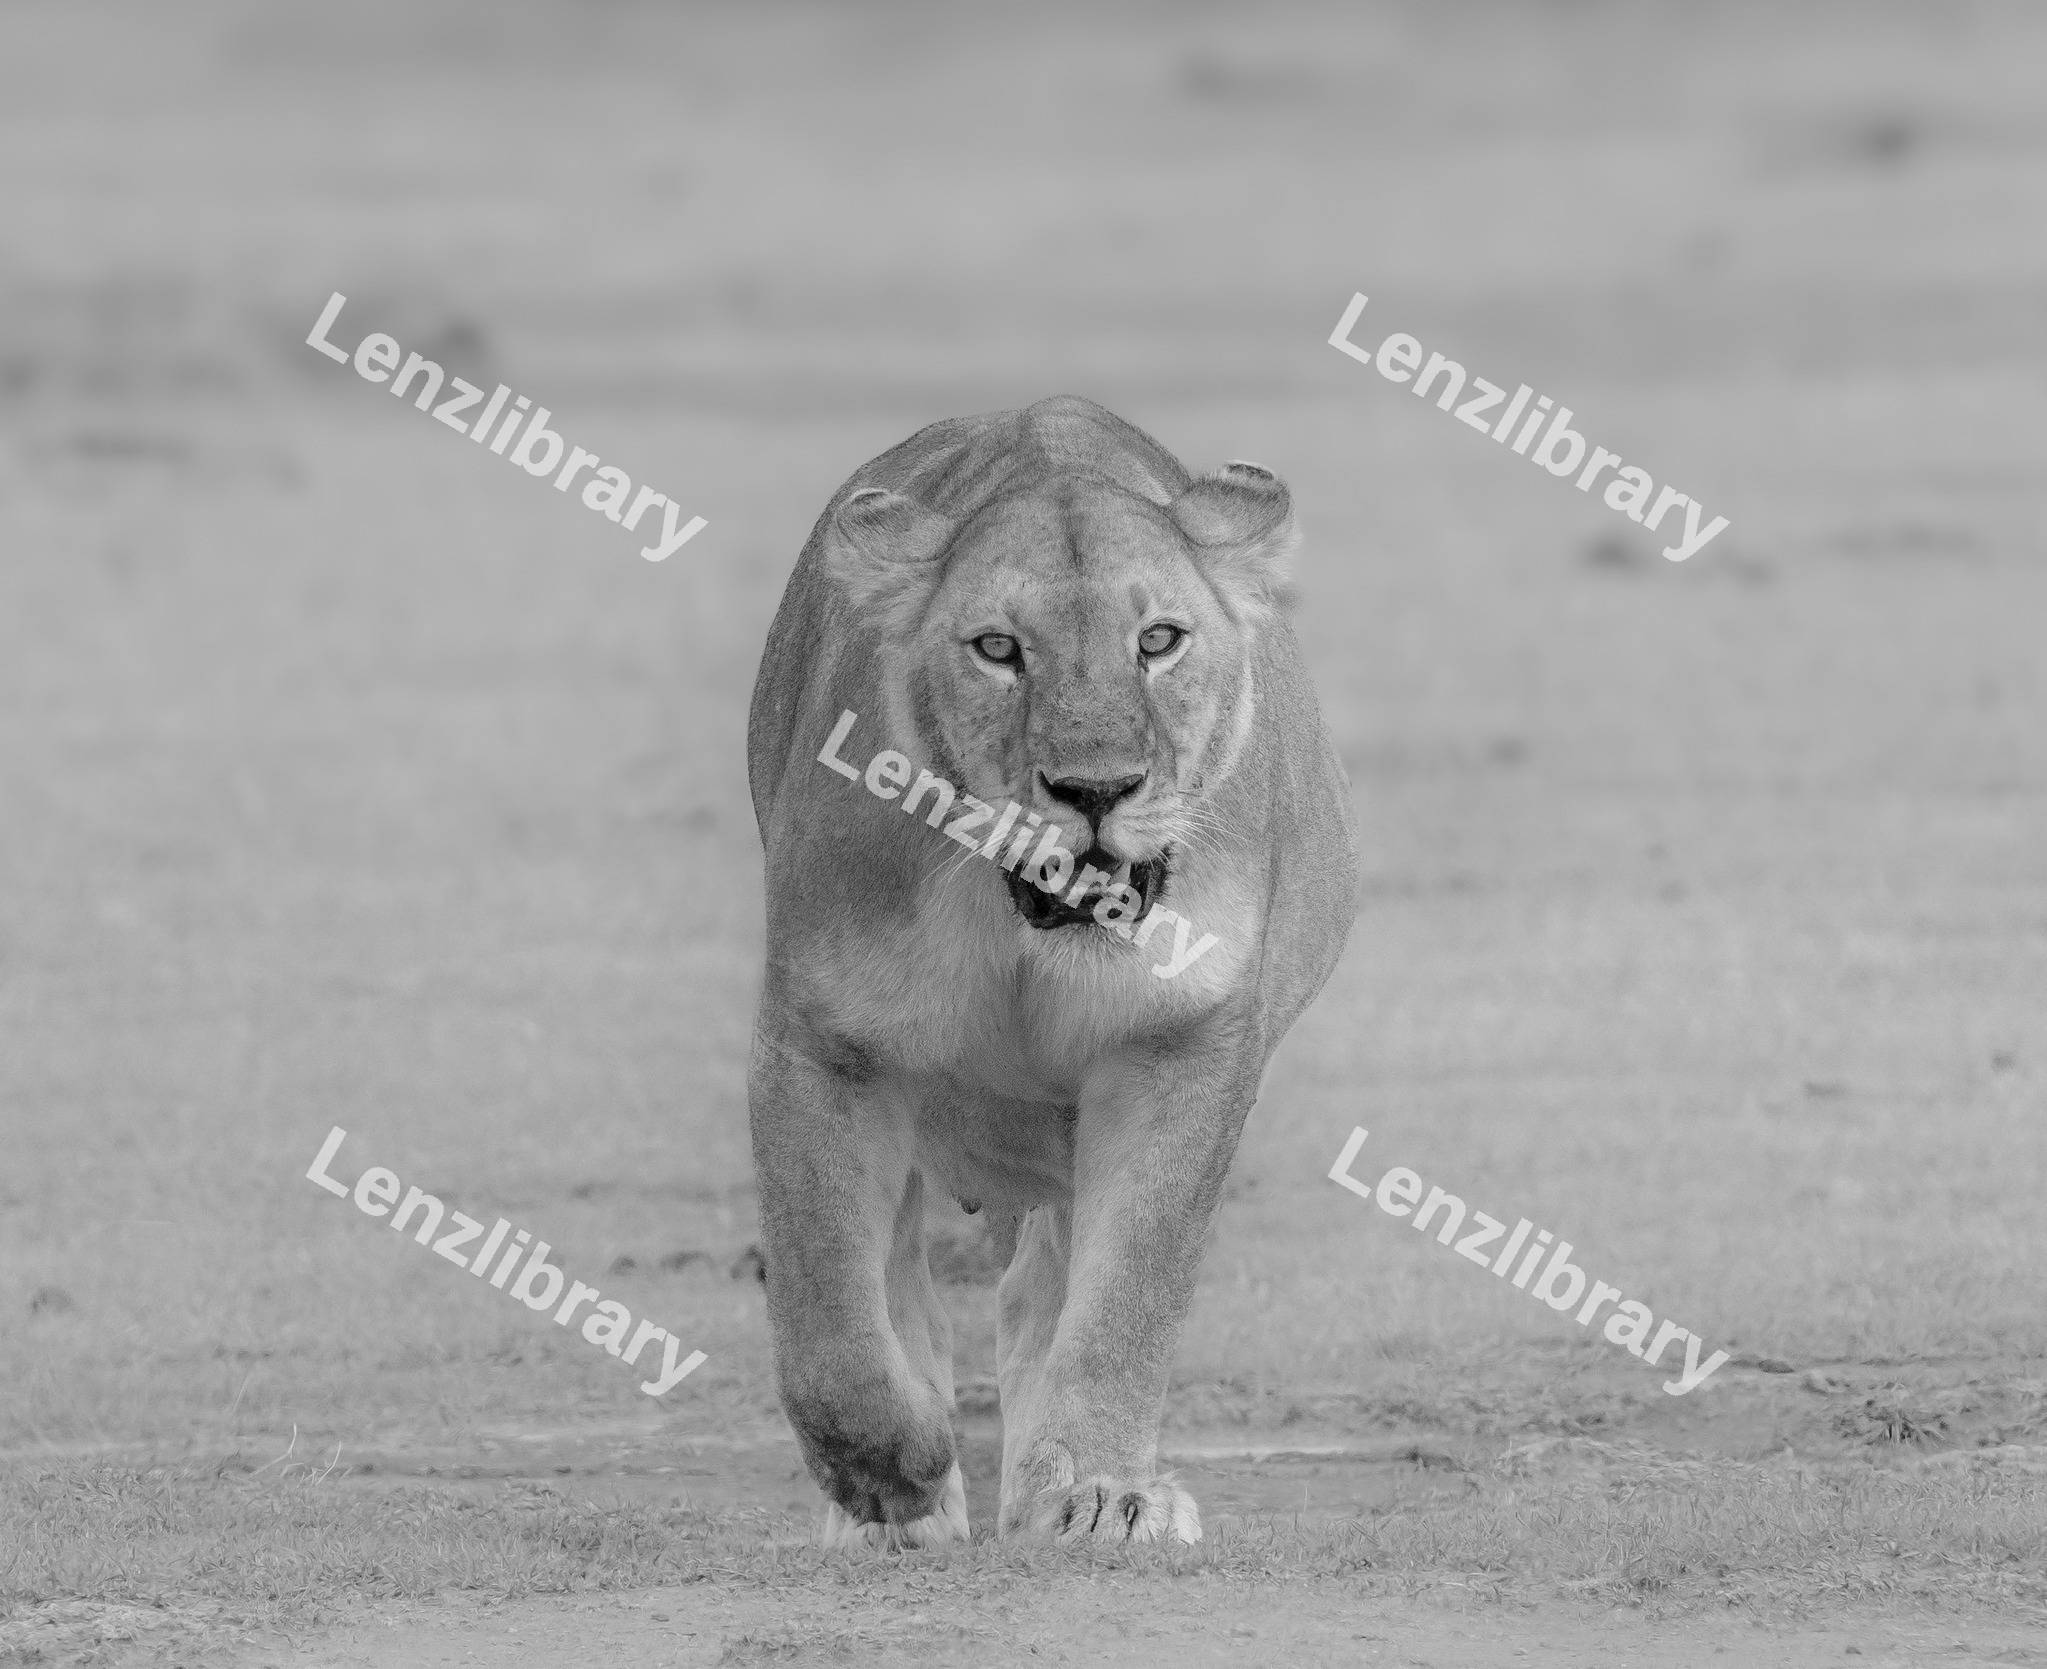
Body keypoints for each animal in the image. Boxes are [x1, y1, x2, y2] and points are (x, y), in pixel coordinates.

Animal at [745, 395, 1358, 1548]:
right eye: (998, 649)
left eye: (1157, 640)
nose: (1095, 787)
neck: (1023, 933)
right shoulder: (821, 1041)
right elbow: (826, 1309)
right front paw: (888, 1480)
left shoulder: (1180, 1040)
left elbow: (1128, 1293)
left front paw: (1099, 1491)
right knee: (902, 1280)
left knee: (1041, 1291)